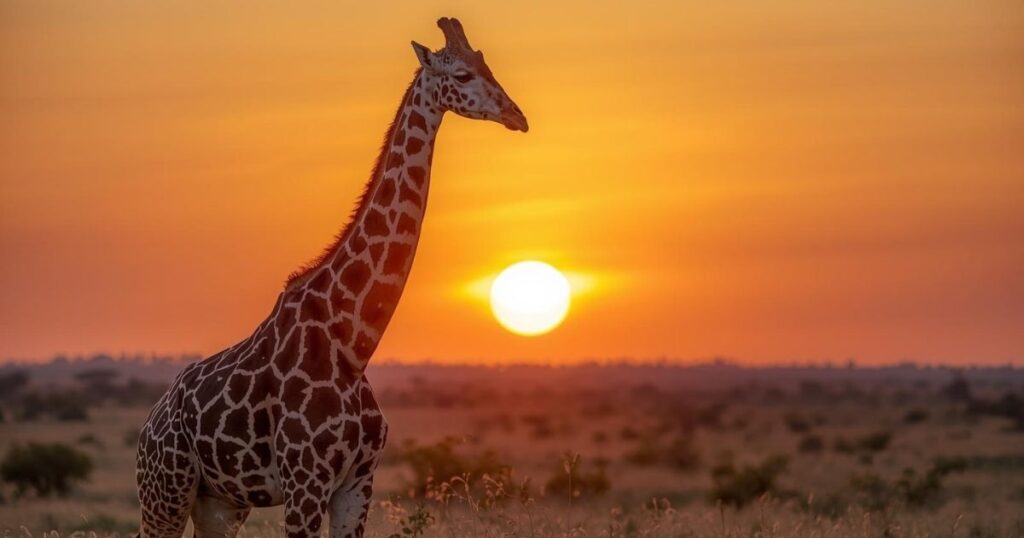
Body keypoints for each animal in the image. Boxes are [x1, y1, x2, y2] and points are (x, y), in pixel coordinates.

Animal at [135, 17, 527, 538]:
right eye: (461, 74)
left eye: (487, 63)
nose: (517, 116)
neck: (354, 343)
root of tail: (148, 424)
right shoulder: (306, 482)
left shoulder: (357, 483)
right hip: (165, 491)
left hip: (219, 502)